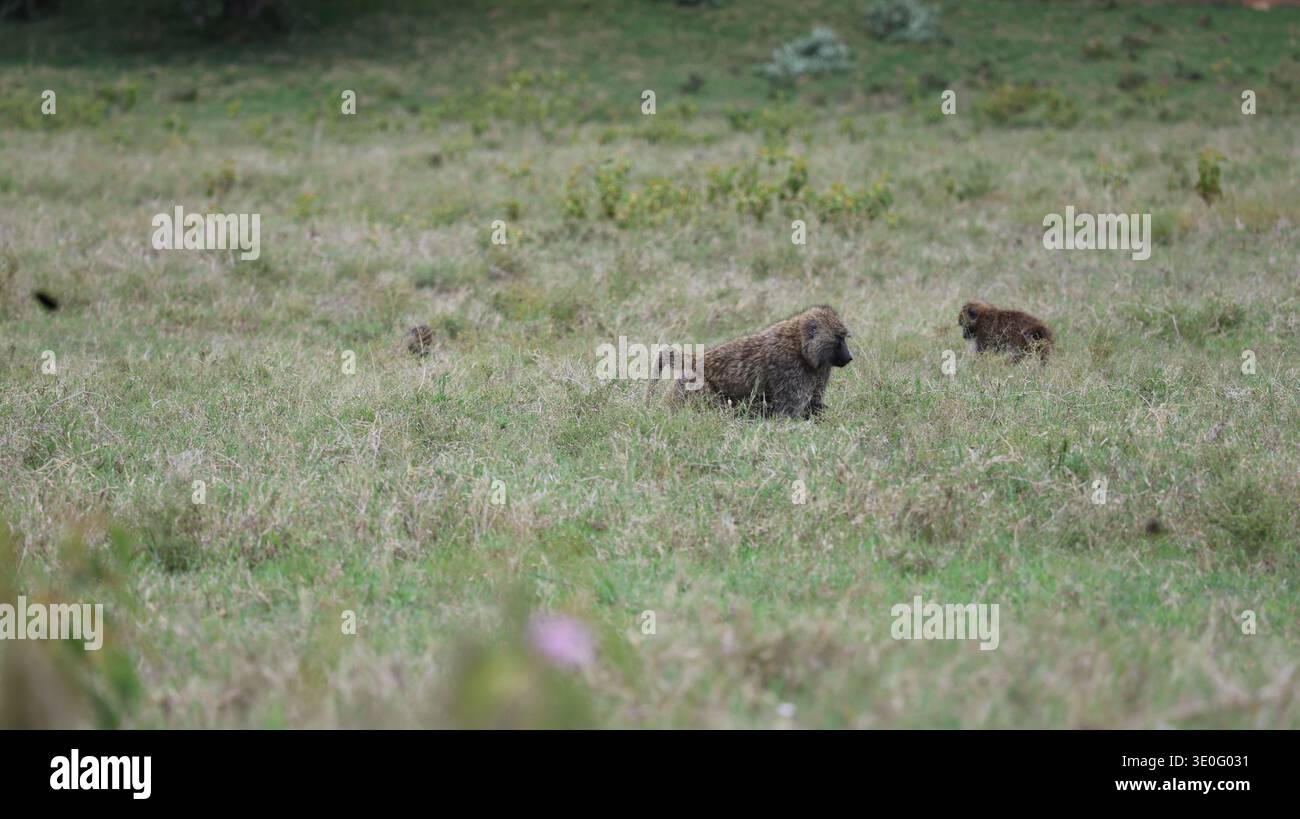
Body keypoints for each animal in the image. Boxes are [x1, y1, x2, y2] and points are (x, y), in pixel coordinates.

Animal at [652, 305, 853, 419]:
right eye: (839, 339)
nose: (849, 357)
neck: (799, 345)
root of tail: (695, 359)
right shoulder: (789, 370)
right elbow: (788, 414)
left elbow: (814, 404)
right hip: (695, 386)